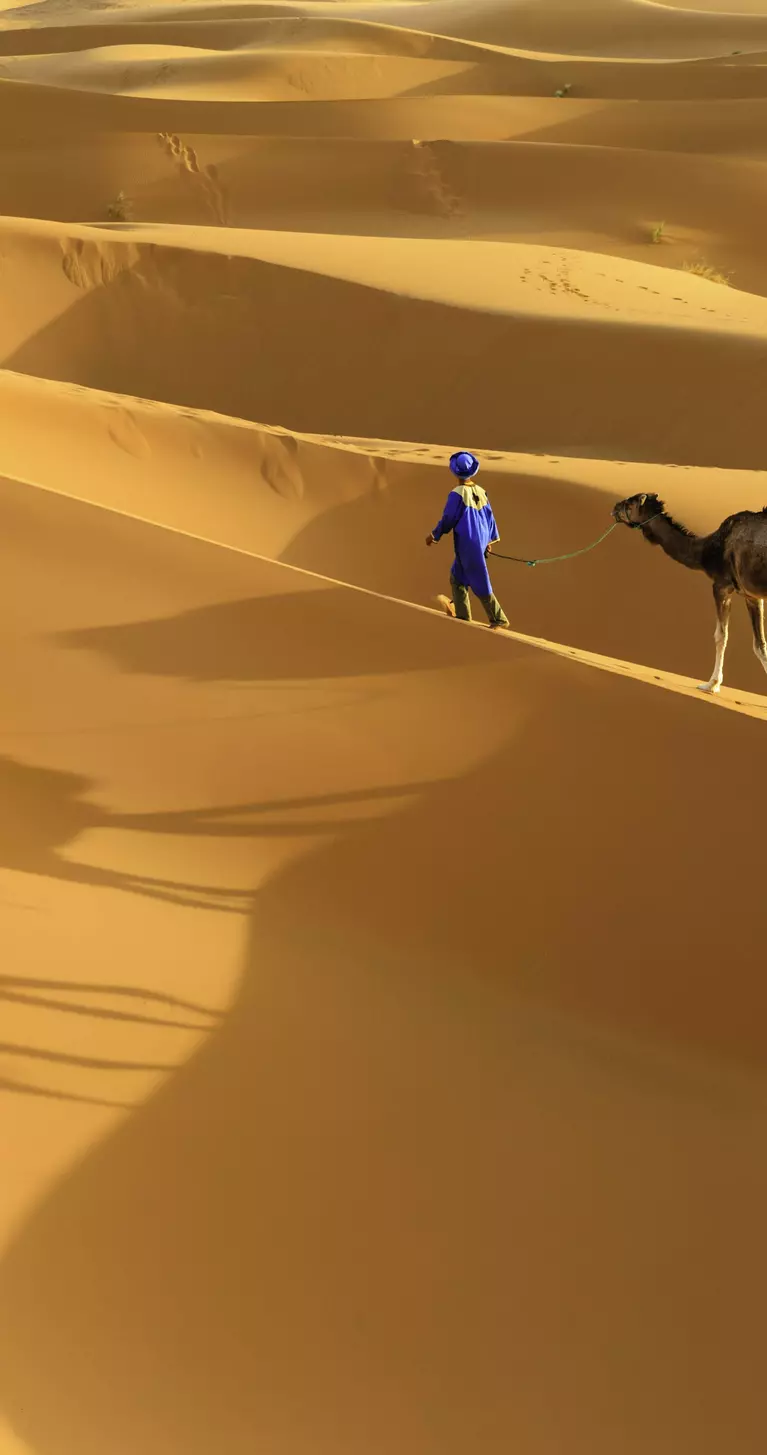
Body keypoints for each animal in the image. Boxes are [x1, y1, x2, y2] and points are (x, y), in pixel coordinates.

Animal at [612, 492, 767, 694]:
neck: (706, 550)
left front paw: (711, 684)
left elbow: (720, 636)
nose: (615, 508)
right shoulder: (752, 596)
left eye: (630, 504)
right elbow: (760, 645)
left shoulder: (721, 585)